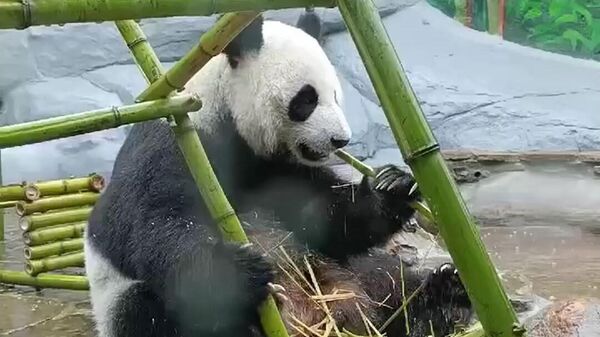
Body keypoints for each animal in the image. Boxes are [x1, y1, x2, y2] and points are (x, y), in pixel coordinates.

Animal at [84, 9, 472, 336]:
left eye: (336, 95)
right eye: (307, 99)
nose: (340, 139)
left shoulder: (281, 169)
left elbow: (324, 219)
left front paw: (392, 186)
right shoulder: (182, 142)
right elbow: (152, 225)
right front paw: (241, 273)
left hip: (349, 275)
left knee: (387, 282)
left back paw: (444, 297)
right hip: (124, 304)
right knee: (152, 311)